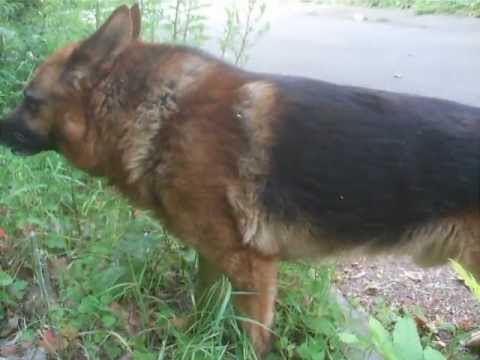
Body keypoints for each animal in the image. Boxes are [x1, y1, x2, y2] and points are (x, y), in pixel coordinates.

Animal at [0, 4, 480, 356]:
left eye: (29, 100)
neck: (163, 113)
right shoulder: (214, 256)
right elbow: (204, 308)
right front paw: (190, 338)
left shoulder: (252, 268)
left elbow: (251, 337)